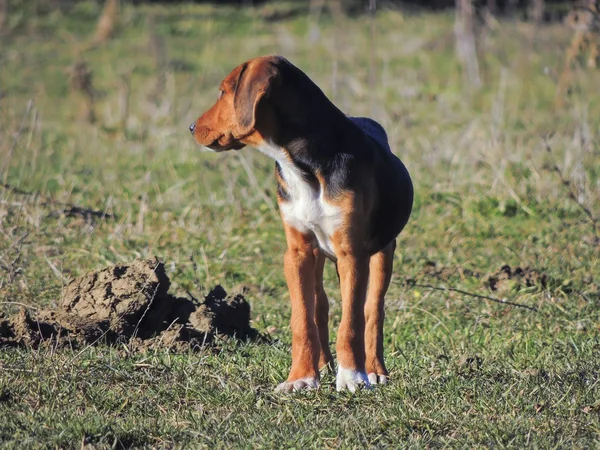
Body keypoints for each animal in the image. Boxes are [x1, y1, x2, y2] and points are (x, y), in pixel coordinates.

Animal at [191, 55, 412, 394]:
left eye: (223, 92)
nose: (191, 127)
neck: (304, 168)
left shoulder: (352, 254)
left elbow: (352, 321)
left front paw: (352, 376)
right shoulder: (297, 252)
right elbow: (302, 319)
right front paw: (301, 377)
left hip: (383, 251)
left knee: (373, 309)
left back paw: (373, 370)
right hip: (319, 254)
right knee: (320, 306)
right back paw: (322, 364)